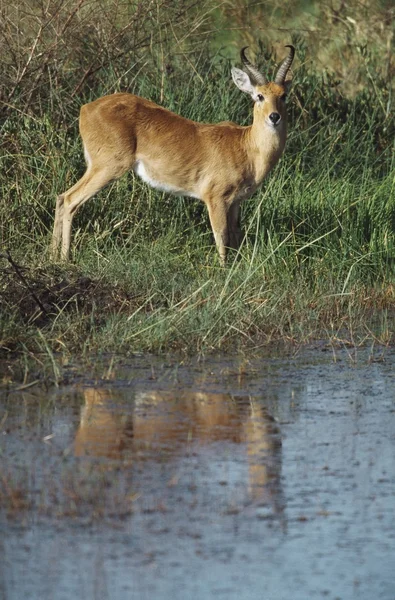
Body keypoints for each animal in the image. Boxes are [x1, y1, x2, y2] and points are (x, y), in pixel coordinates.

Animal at [51, 44, 294, 264]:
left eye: (283, 95)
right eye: (259, 96)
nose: (274, 117)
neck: (246, 146)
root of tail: (86, 109)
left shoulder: (235, 203)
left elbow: (235, 237)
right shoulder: (215, 198)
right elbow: (221, 237)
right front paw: (223, 270)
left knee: (62, 197)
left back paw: (52, 256)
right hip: (108, 167)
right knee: (71, 199)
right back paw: (65, 258)